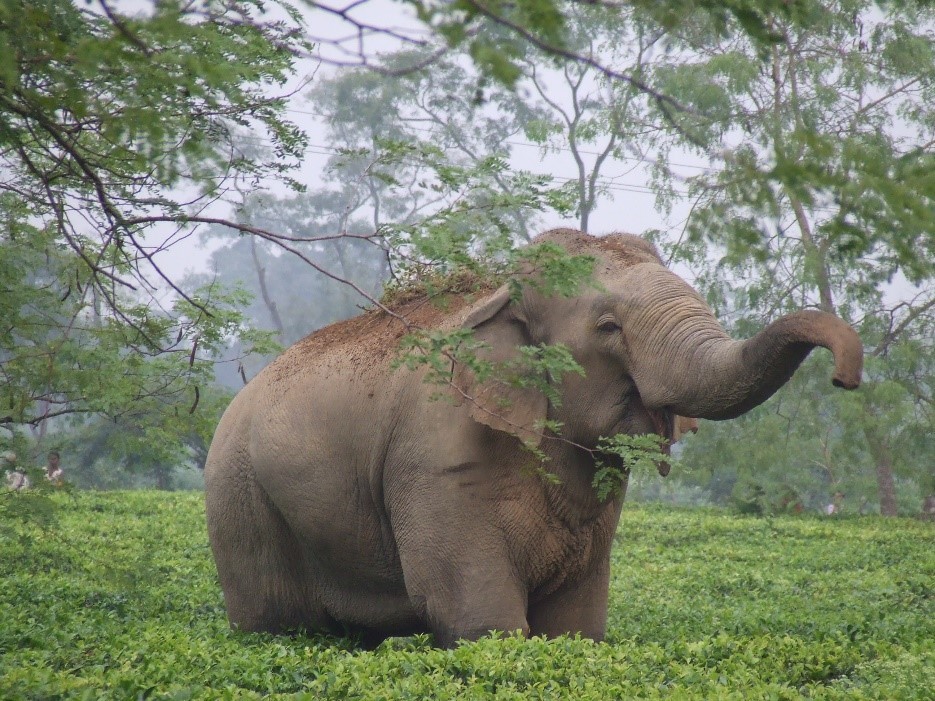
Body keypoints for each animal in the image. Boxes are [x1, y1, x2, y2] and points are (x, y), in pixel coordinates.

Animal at [204, 228, 863, 648]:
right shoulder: (433, 456)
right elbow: (478, 620)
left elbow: (575, 628)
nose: (845, 378)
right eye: (608, 327)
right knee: (275, 625)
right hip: (240, 500)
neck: (499, 298)